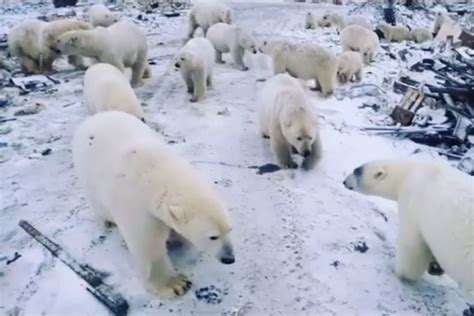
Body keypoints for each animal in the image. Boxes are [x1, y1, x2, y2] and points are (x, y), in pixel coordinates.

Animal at [72, 111, 235, 298]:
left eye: (229, 230)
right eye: (213, 236)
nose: (229, 259)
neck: (152, 170)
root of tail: (97, 116)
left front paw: (176, 237)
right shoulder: (135, 204)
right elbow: (148, 244)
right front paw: (177, 284)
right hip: (87, 174)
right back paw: (108, 221)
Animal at [344, 159, 474, 296]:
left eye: (356, 171)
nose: (344, 181)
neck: (408, 173)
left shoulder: (412, 202)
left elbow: (412, 247)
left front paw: (400, 271)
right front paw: (434, 267)